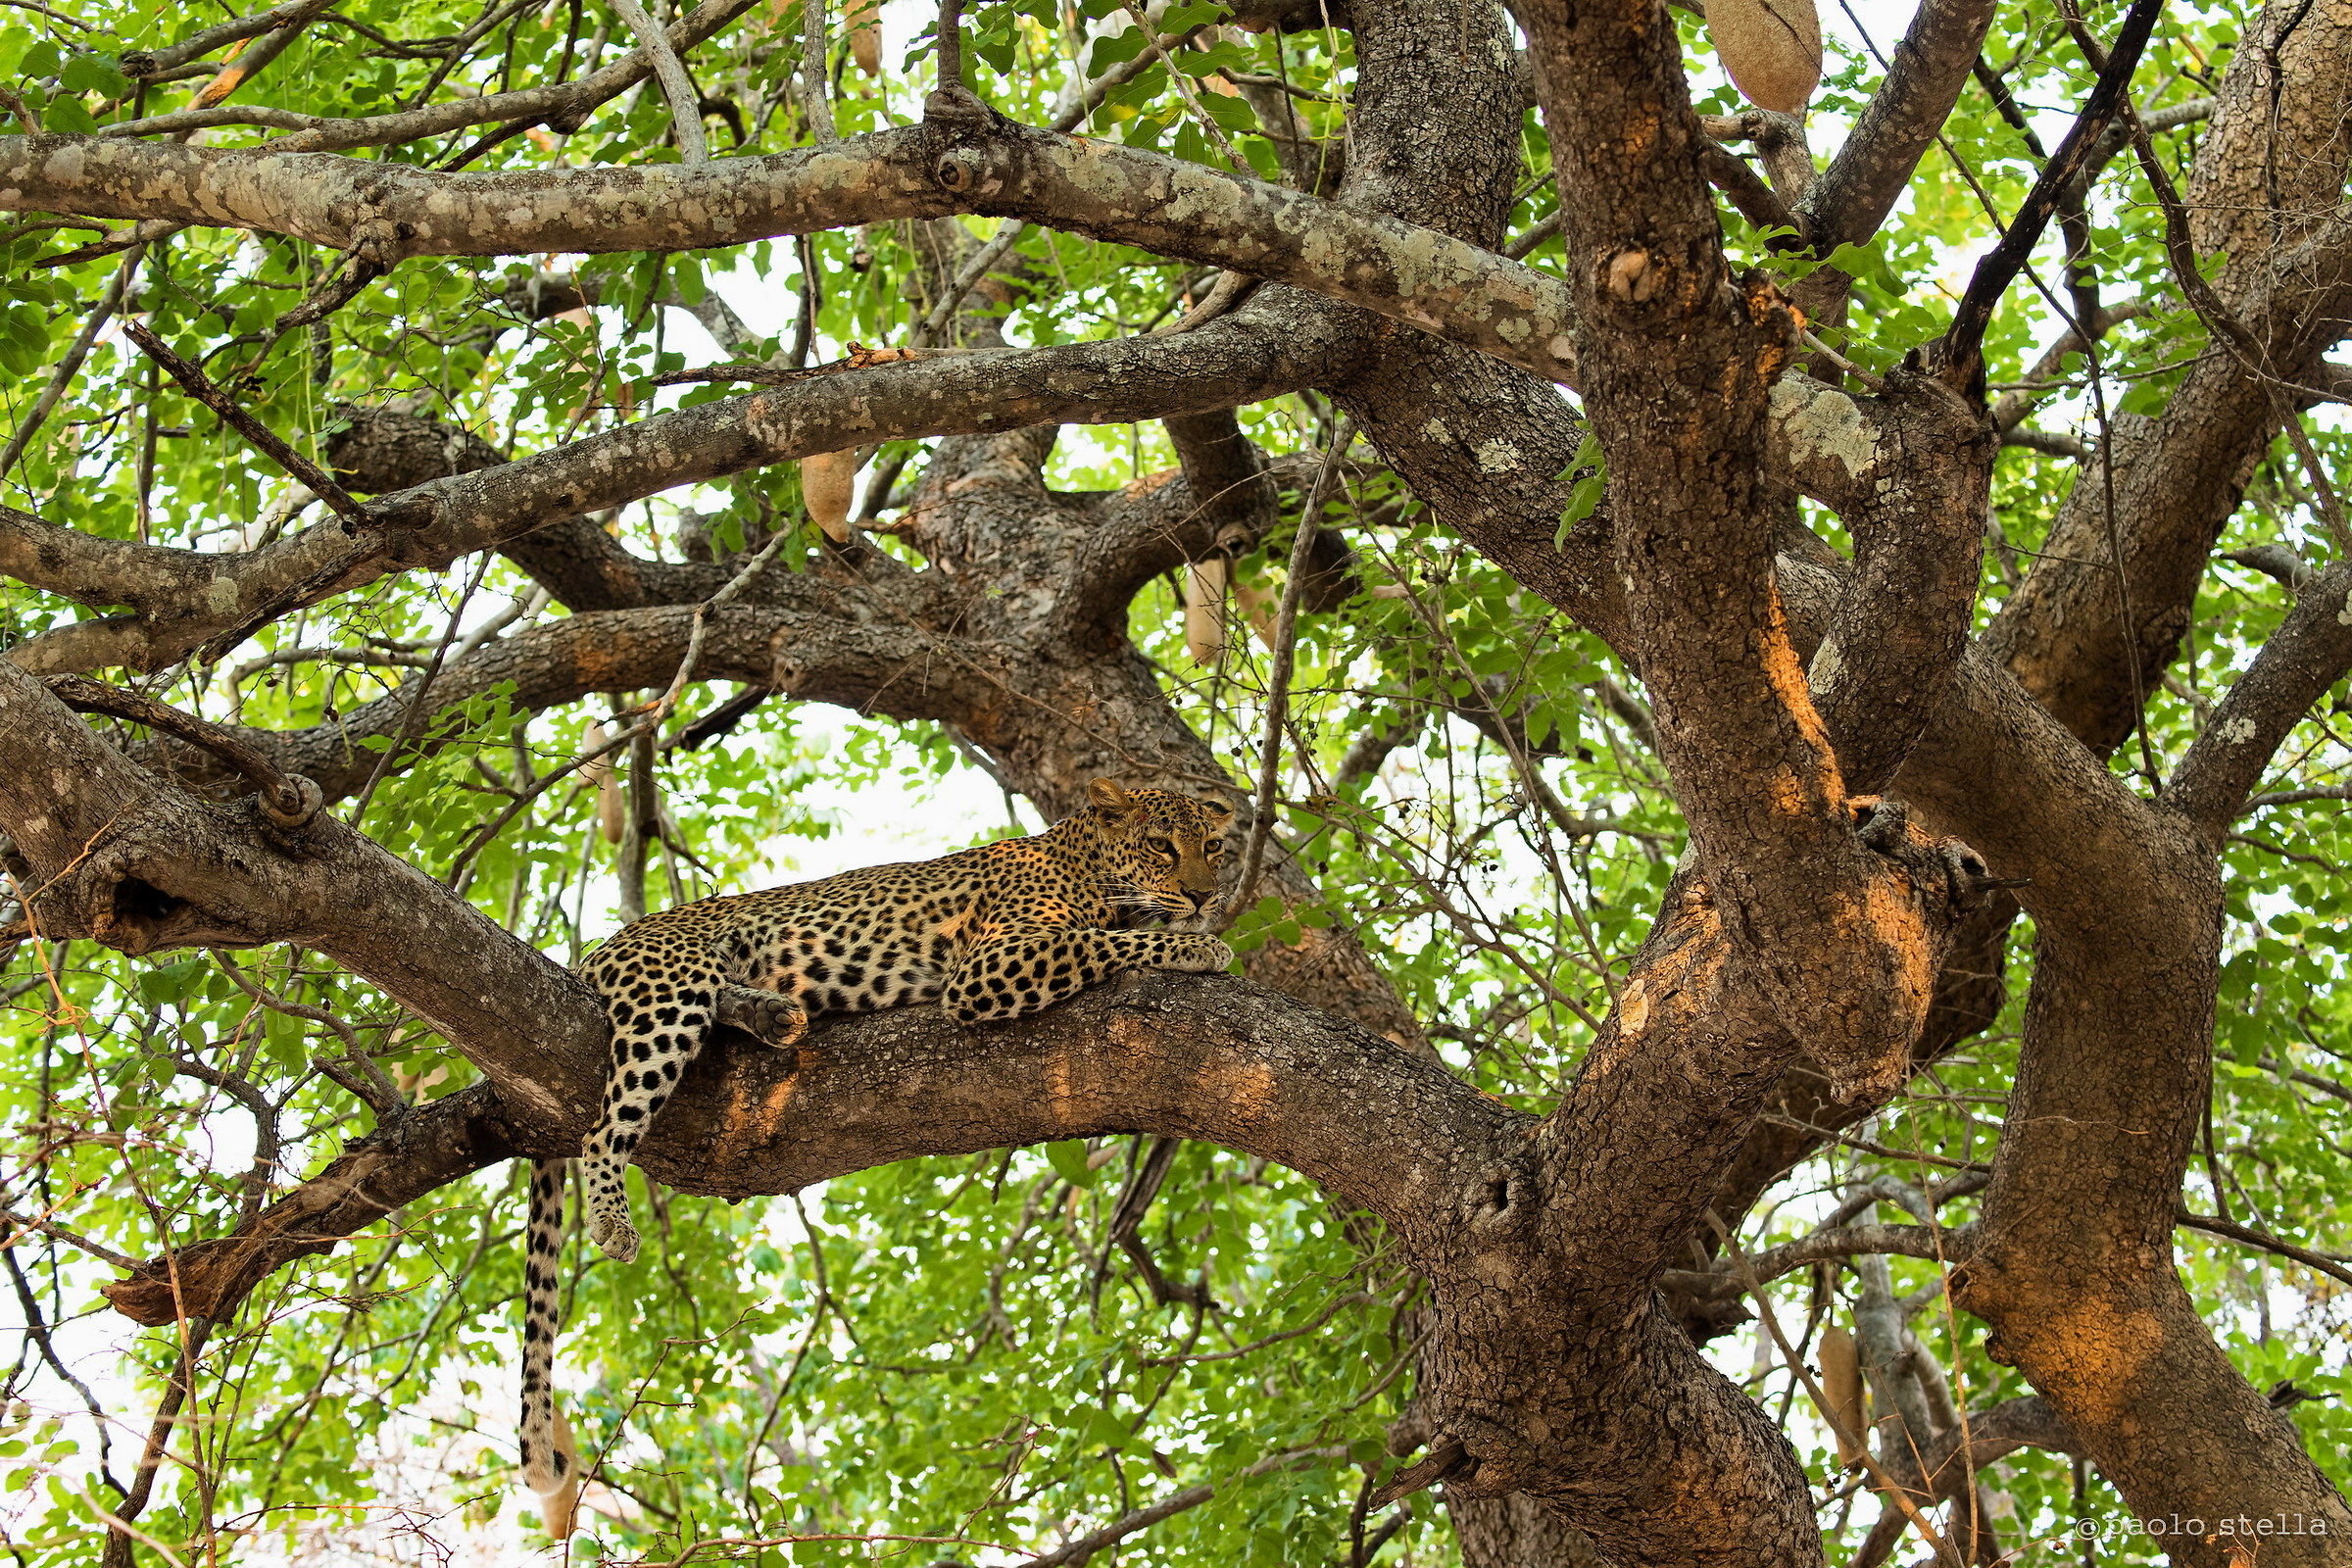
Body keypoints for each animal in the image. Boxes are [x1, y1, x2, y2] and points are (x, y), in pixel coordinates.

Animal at [519, 778, 1237, 1503]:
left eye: (1211, 847)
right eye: (1160, 845)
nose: (1205, 897)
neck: (1086, 858)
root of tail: (598, 948)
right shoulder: (989, 964)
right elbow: (1103, 941)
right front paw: (1198, 949)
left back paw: (771, 1012)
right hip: (669, 991)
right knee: (602, 1128)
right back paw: (613, 1217)